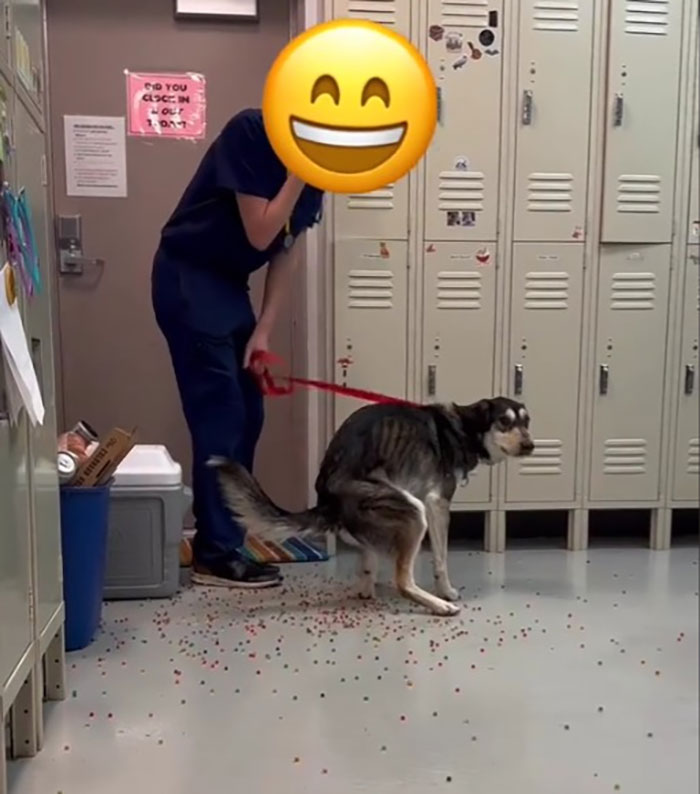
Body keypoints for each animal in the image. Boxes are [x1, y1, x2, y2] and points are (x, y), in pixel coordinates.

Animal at [208, 400, 532, 616]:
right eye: (504, 422)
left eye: (527, 422)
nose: (530, 446)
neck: (463, 428)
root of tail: (327, 496)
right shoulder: (436, 503)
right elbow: (440, 558)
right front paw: (447, 591)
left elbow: (370, 557)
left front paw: (368, 582)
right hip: (414, 512)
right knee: (403, 580)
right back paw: (438, 605)